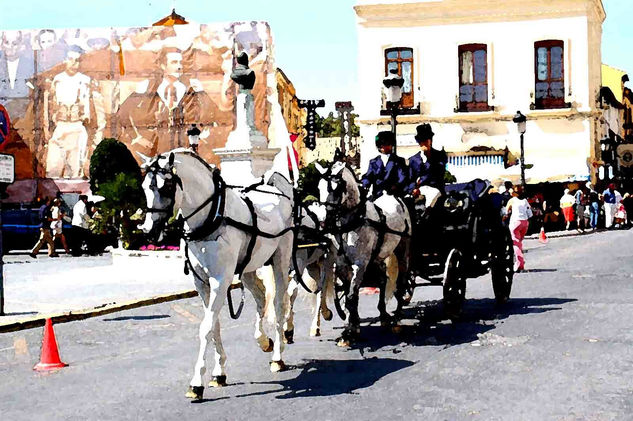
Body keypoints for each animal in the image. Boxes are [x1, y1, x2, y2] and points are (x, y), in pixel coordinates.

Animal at [138, 149, 294, 398]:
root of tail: (278, 190)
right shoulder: (202, 283)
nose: (148, 231)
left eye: (166, 187)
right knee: (261, 299)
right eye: (144, 186)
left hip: (281, 259)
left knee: (279, 304)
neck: (212, 217)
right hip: (248, 269)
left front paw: (196, 383)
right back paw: (263, 340)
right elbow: (215, 325)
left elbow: (206, 327)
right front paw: (219, 372)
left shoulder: (221, 281)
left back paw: (277, 356)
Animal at [314, 161, 410, 344]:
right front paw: (352, 325)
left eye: (336, 188)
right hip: (377, 258)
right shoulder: (343, 265)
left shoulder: (360, 264)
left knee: (401, 281)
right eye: (319, 187)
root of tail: (394, 197)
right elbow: (349, 294)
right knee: (382, 280)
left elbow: (352, 297)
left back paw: (397, 317)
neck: (350, 223)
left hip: (402, 251)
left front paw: (351, 331)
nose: (324, 222)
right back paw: (383, 315)